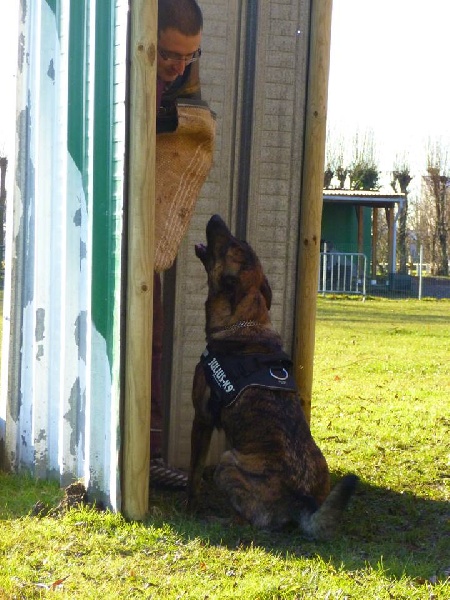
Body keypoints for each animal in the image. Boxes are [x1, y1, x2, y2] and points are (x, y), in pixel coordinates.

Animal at [187, 214, 358, 538]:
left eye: (229, 244)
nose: (215, 217)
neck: (244, 322)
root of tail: (300, 500)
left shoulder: (201, 418)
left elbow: (194, 471)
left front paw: (190, 500)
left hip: (227, 462)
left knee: (246, 521)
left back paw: (217, 519)